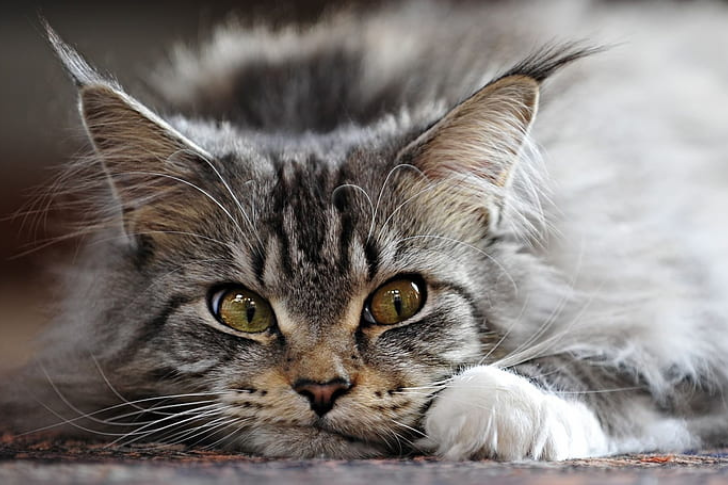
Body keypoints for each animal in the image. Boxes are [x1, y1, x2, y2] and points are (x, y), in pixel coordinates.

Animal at [1, 0, 728, 460]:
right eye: (240, 309)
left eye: (399, 301)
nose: (320, 389)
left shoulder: (676, 293)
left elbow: (613, 364)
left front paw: (497, 408)